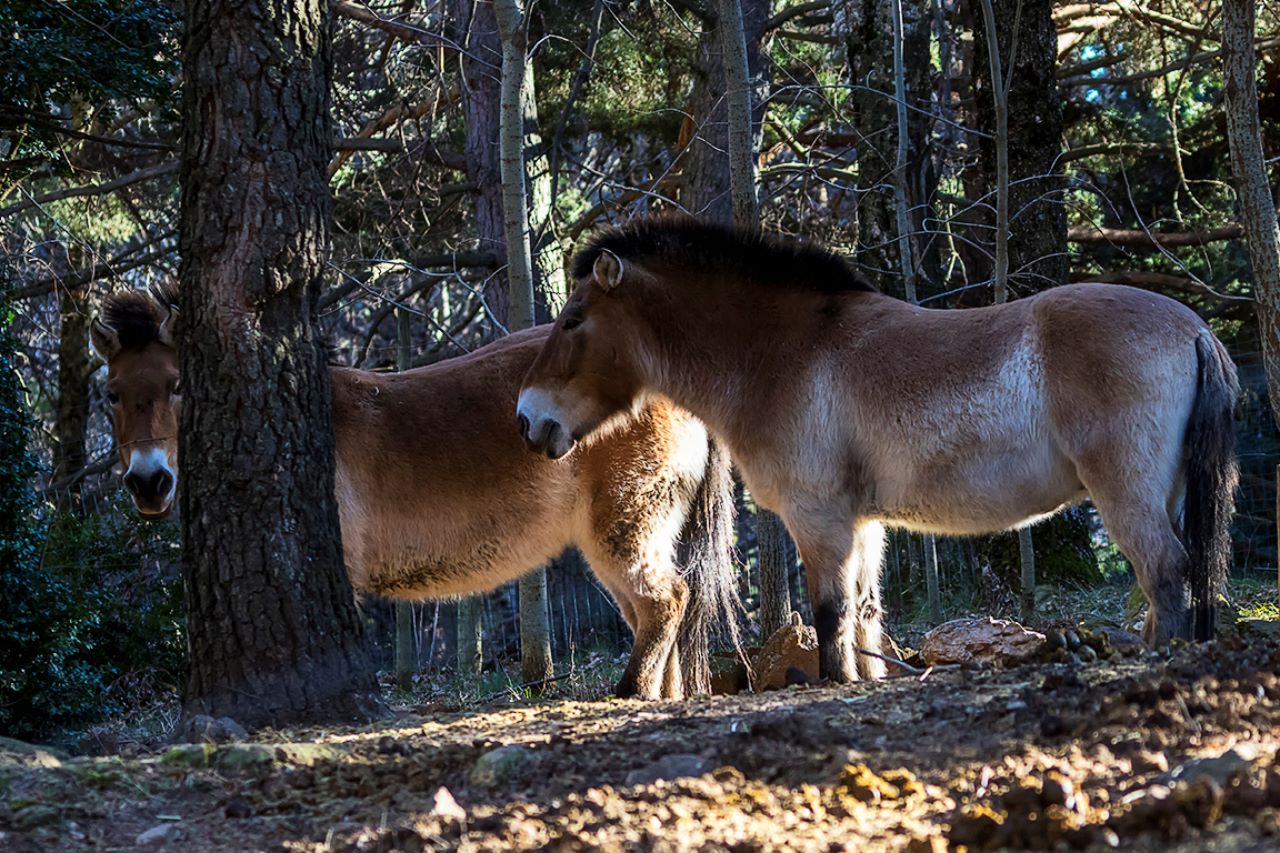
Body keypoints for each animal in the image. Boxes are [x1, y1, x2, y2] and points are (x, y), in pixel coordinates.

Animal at [90, 285, 739, 700]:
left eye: (179, 385)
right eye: (113, 394)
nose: (148, 481)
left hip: (626, 524)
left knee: (666, 601)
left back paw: (629, 691)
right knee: (655, 612)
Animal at [517, 216, 1239, 683]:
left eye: (573, 320)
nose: (529, 419)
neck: (783, 354)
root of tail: (1193, 327)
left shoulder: (820, 520)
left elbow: (831, 615)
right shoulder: (863, 525)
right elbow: (864, 617)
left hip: (1126, 493)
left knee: (1165, 572)